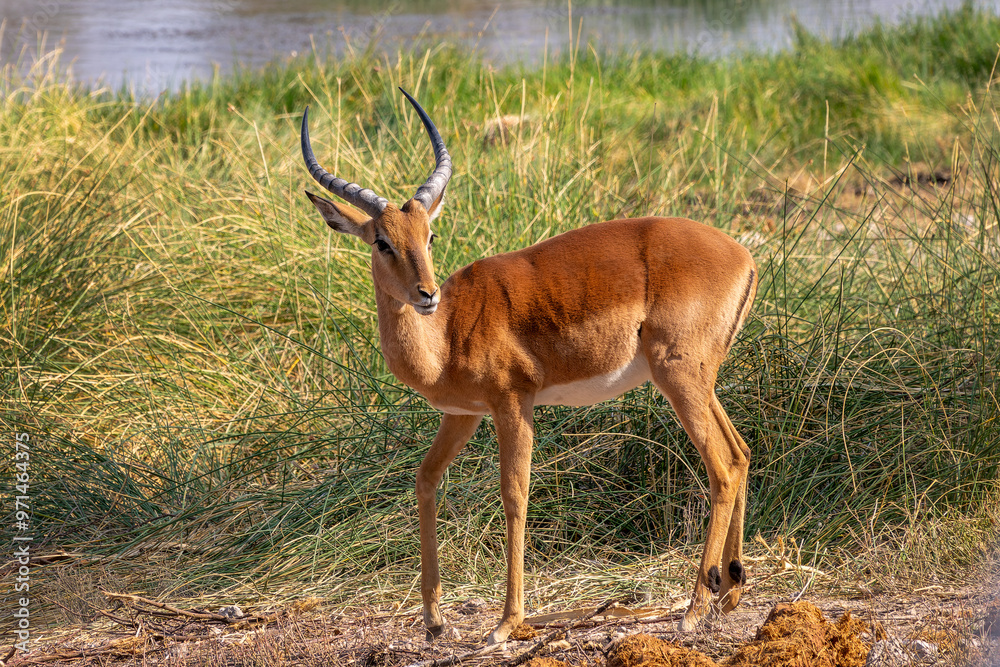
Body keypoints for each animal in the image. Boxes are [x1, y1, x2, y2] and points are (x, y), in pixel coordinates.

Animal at [300, 89, 757, 644]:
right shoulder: (462, 414)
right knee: (742, 452)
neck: (447, 335)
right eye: (381, 241)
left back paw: (693, 609)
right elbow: (425, 480)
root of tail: (744, 257)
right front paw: (434, 620)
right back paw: (729, 594)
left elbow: (514, 495)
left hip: (679, 376)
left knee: (722, 466)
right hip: (700, 382)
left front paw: (506, 622)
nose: (427, 295)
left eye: (429, 236)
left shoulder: (512, 403)